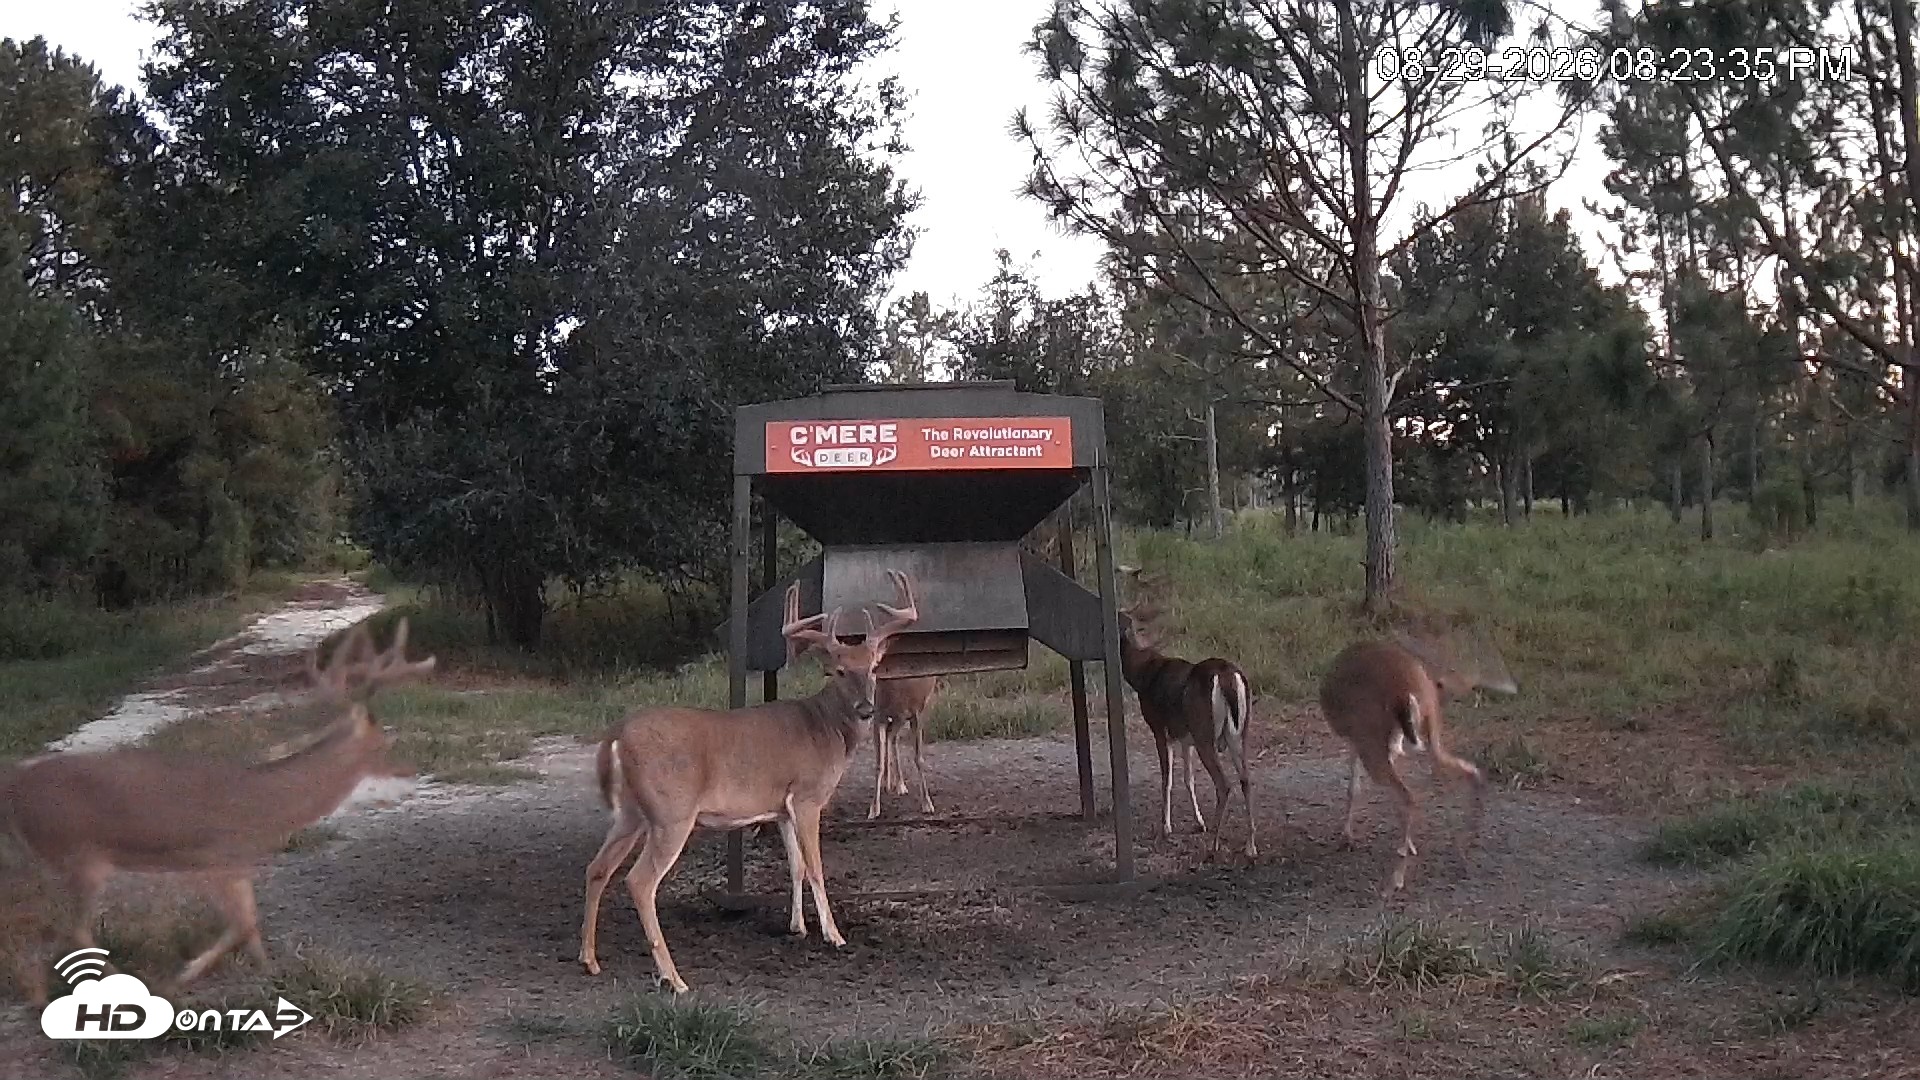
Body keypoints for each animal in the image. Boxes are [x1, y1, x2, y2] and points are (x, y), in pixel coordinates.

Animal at [0, 618, 427, 1001]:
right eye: (385, 743)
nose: (411, 768)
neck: (268, 806)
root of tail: (13, 788)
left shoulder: (238, 864)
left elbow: (252, 926)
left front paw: (271, 977)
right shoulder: (217, 854)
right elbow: (241, 925)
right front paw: (183, 976)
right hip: (78, 855)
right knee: (70, 931)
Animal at [577, 569, 920, 994]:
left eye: (873, 667)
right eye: (840, 670)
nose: (866, 709)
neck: (824, 728)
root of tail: (616, 736)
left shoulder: (782, 807)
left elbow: (796, 865)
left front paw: (797, 927)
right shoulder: (808, 795)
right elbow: (816, 866)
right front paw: (833, 935)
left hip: (631, 813)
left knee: (597, 868)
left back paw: (590, 959)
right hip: (671, 812)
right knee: (640, 882)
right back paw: (674, 978)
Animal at [1114, 566, 1258, 861]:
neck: (1141, 674)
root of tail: (1228, 676)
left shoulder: (1160, 728)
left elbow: (1167, 778)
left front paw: (1166, 827)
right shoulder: (1184, 737)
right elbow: (1188, 778)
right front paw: (1198, 822)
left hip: (1206, 732)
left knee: (1224, 784)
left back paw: (1213, 846)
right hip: (1239, 732)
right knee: (1246, 779)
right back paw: (1250, 846)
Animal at [1317, 620, 1518, 895]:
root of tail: (1405, 692)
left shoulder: (1357, 740)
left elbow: (1353, 788)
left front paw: (1347, 837)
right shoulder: (1391, 745)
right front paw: (1409, 844)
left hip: (1371, 737)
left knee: (1409, 796)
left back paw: (1396, 879)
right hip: (1429, 729)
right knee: (1470, 772)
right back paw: (1465, 852)